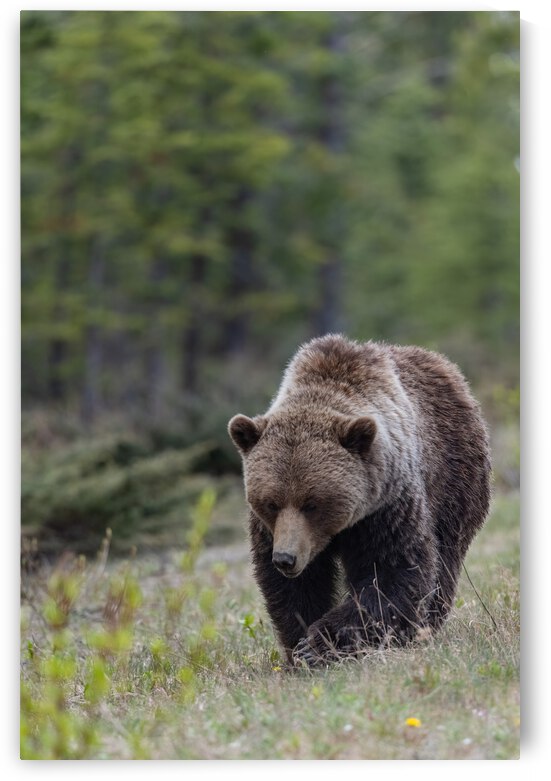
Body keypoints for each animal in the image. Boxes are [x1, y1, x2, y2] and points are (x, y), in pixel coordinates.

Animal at [228, 334, 491, 665]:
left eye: (312, 503)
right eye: (271, 503)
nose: (286, 558)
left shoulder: (387, 506)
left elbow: (391, 572)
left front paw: (319, 644)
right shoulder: (272, 531)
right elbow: (295, 588)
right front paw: (300, 645)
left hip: (453, 479)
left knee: (444, 559)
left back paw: (422, 627)